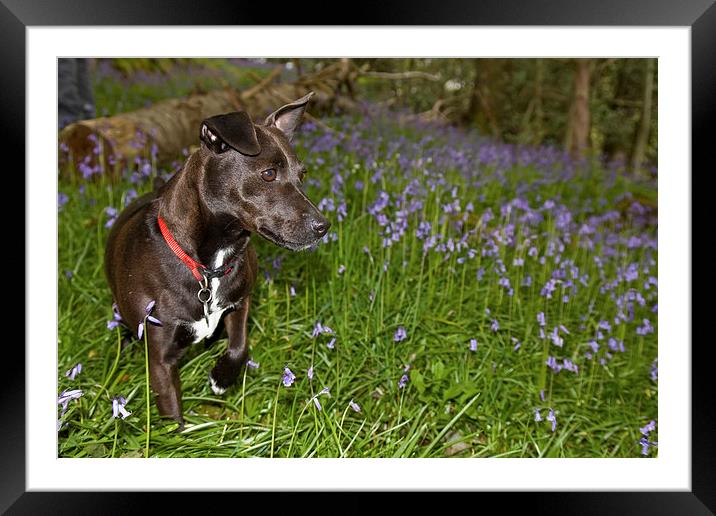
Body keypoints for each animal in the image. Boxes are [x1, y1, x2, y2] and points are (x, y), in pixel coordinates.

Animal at [105, 92, 328, 428]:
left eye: (302, 175)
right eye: (268, 173)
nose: (323, 226)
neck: (209, 267)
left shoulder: (240, 302)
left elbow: (240, 345)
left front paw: (222, 377)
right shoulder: (161, 357)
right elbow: (172, 413)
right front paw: (177, 435)